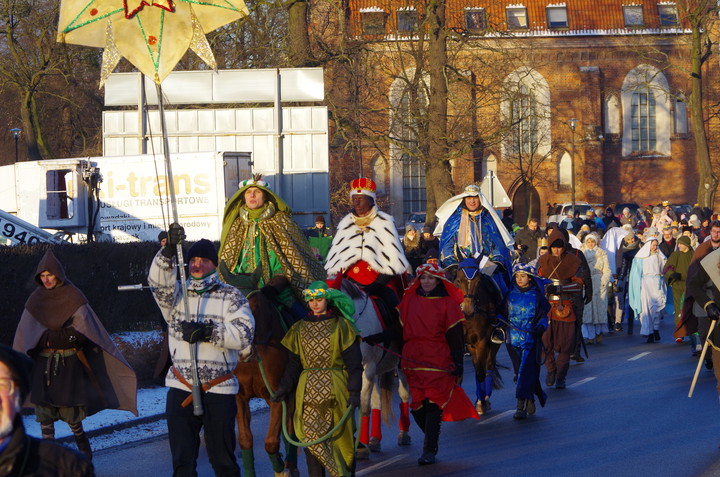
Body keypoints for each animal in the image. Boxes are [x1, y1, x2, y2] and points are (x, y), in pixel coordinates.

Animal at [219, 266, 298, 476]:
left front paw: (282, 469)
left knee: (290, 431)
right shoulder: (239, 397)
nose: (242, 351)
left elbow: (271, 442)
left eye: (252, 307)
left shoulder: (278, 396)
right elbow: (246, 440)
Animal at [458, 260, 504, 412]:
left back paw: (483, 399)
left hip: (493, 342)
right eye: (458, 279)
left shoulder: (482, 341)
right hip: (471, 345)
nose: (467, 308)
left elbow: (480, 372)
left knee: (488, 366)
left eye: (478, 280)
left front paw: (482, 403)